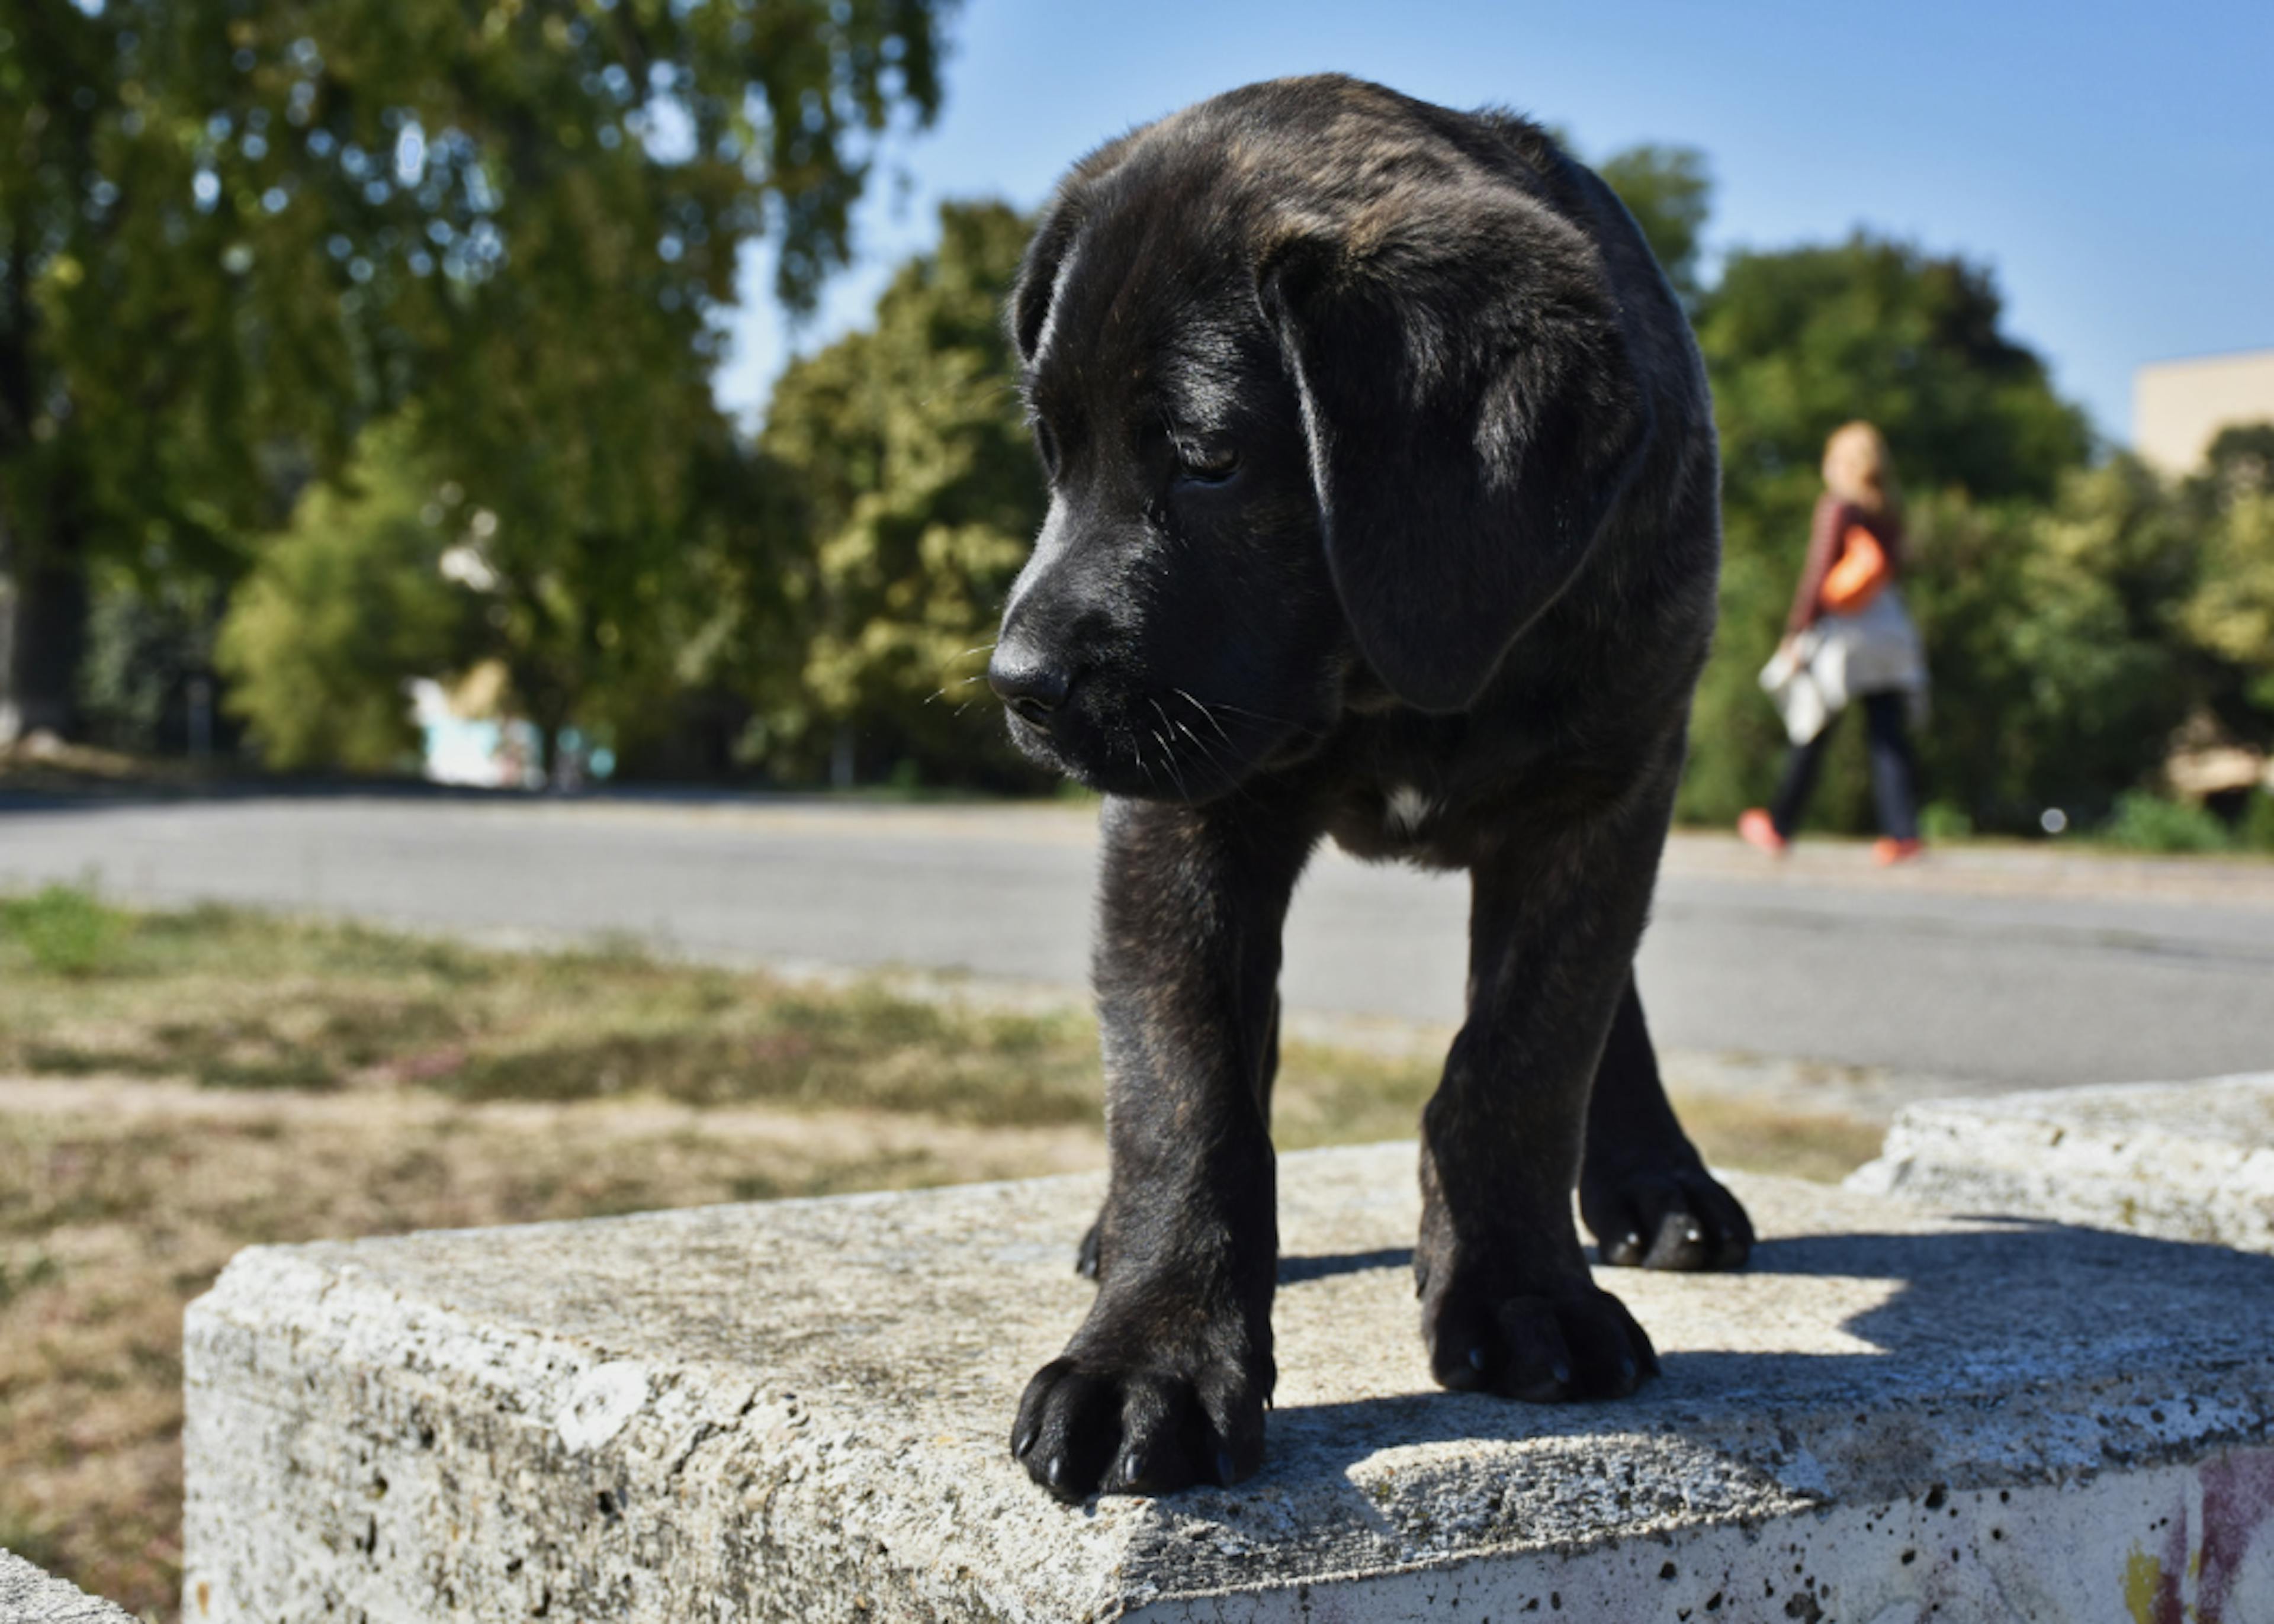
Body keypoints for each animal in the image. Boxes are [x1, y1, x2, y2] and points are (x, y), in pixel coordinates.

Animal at [987, 72, 1746, 1492]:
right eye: (1054, 453)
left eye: (1209, 458)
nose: (1021, 683)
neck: (1389, 684)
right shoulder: (1181, 821)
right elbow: (1188, 1091)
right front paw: (1151, 1351)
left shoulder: (1602, 798)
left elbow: (1524, 1058)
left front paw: (1523, 1296)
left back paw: (1657, 1181)